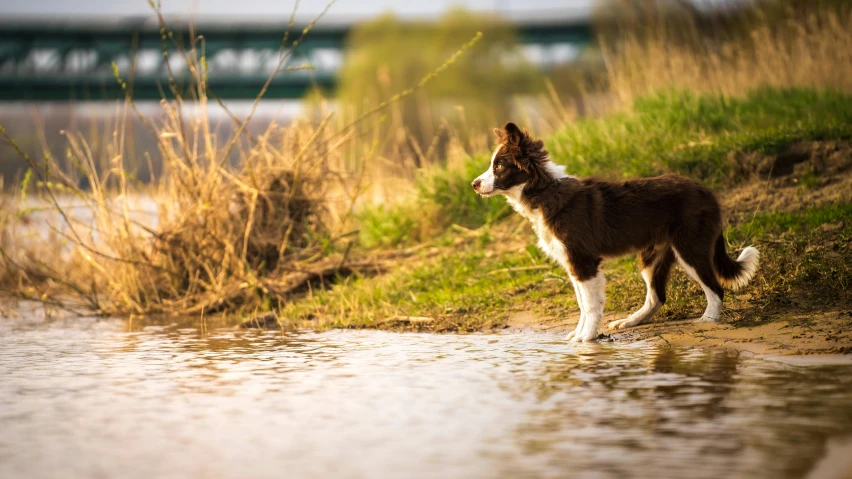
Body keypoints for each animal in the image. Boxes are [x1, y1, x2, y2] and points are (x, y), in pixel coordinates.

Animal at [472, 124, 760, 342]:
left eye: (499, 167)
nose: (474, 184)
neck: (544, 192)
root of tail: (706, 191)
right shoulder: (573, 264)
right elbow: (583, 304)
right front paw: (578, 335)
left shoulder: (583, 262)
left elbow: (590, 305)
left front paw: (585, 339)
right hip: (653, 255)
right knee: (657, 297)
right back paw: (630, 321)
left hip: (690, 247)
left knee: (715, 287)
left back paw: (709, 319)